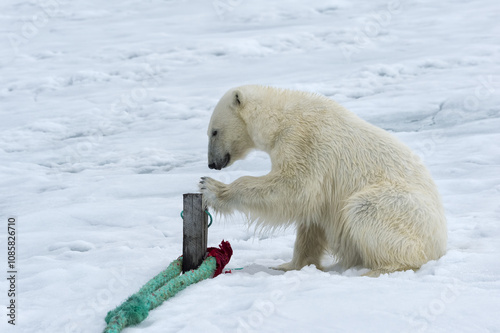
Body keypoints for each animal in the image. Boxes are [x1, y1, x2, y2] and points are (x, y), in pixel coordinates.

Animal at [197, 85, 448, 274]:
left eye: (214, 132)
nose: (212, 163)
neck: (281, 117)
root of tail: (440, 244)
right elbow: (312, 217)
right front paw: (288, 266)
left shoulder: (304, 140)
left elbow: (293, 187)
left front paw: (211, 187)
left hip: (402, 209)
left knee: (365, 209)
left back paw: (380, 269)